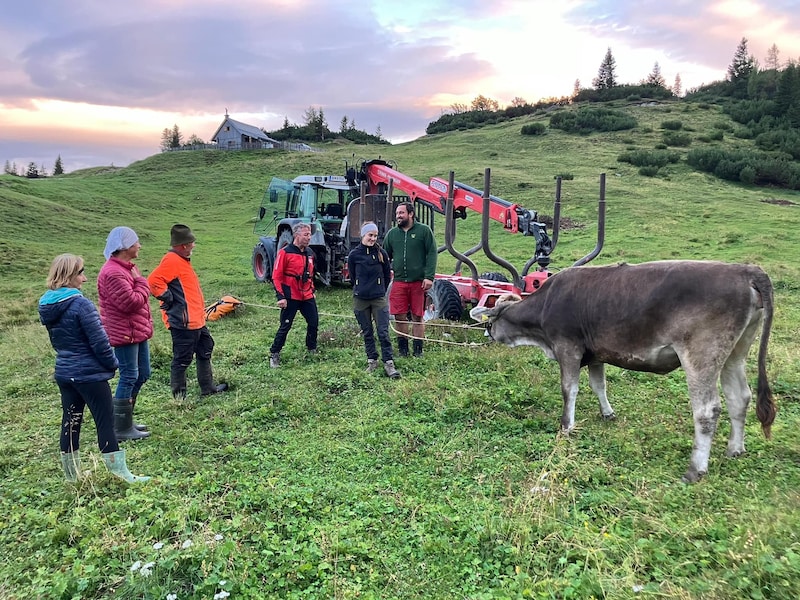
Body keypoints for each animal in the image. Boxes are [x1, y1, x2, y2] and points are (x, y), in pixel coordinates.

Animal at [468, 260, 776, 480]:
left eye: (491, 321)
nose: (487, 334)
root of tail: (745, 269)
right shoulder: (595, 353)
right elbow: (598, 385)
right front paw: (607, 413)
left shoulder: (568, 347)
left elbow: (570, 389)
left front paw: (566, 426)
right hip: (735, 352)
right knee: (740, 397)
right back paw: (735, 449)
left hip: (702, 353)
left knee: (707, 409)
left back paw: (695, 468)